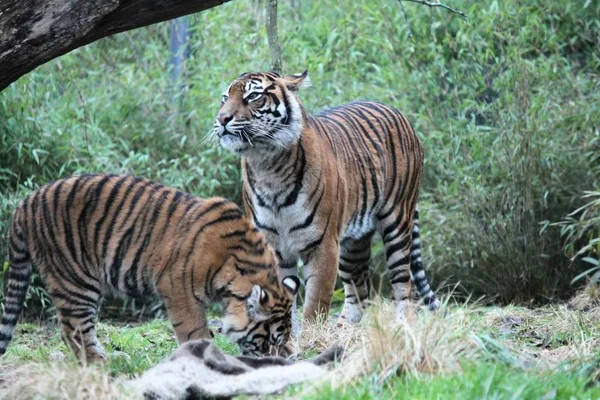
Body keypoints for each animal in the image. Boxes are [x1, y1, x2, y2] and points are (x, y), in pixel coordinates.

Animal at [0, 173, 300, 360]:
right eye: (268, 341)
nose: (274, 361)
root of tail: (25, 202)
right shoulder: (178, 290)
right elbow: (194, 331)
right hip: (74, 280)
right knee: (74, 330)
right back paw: (101, 364)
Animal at [213, 70, 438, 326]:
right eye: (224, 98)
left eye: (253, 96)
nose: (222, 119)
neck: (266, 164)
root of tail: (397, 112)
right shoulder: (274, 247)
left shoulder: (323, 245)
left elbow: (315, 304)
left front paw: (311, 334)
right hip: (353, 242)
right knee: (359, 291)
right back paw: (343, 328)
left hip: (397, 223)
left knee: (403, 284)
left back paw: (404, 325)